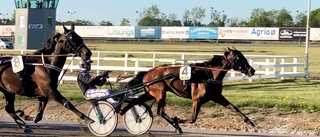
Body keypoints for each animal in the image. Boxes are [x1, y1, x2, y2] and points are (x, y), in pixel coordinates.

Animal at [119, 47, 256, 133]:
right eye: (240, 58)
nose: (252, 70)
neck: (208, 75)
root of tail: (148, 72)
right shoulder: (197, 100)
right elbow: (193, 118)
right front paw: (177, 120)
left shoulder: (217, 97)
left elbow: (234, 108)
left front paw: (251, 123)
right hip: (160, 93)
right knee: (160, 111)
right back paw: (176, 125)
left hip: (151, 93)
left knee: (135, 101)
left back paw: (122, 111)